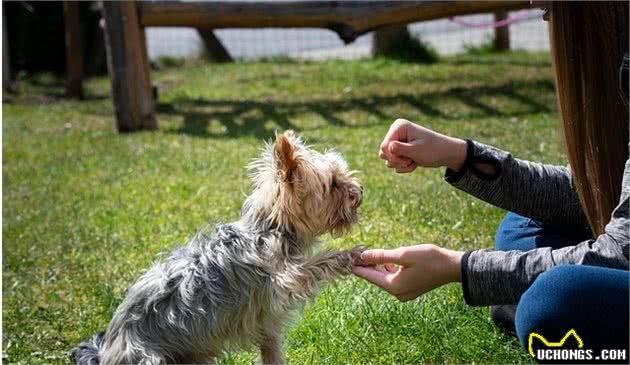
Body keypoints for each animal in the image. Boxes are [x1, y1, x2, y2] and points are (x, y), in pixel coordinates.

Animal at [70, 131, 366, 364]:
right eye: (333, 184)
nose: (360, 191)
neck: (270, 228)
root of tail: (106, 351)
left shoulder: (266, 324)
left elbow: (271, 350)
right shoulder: (285, 278)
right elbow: (318, 263)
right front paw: (351, 254)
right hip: (148, 357)